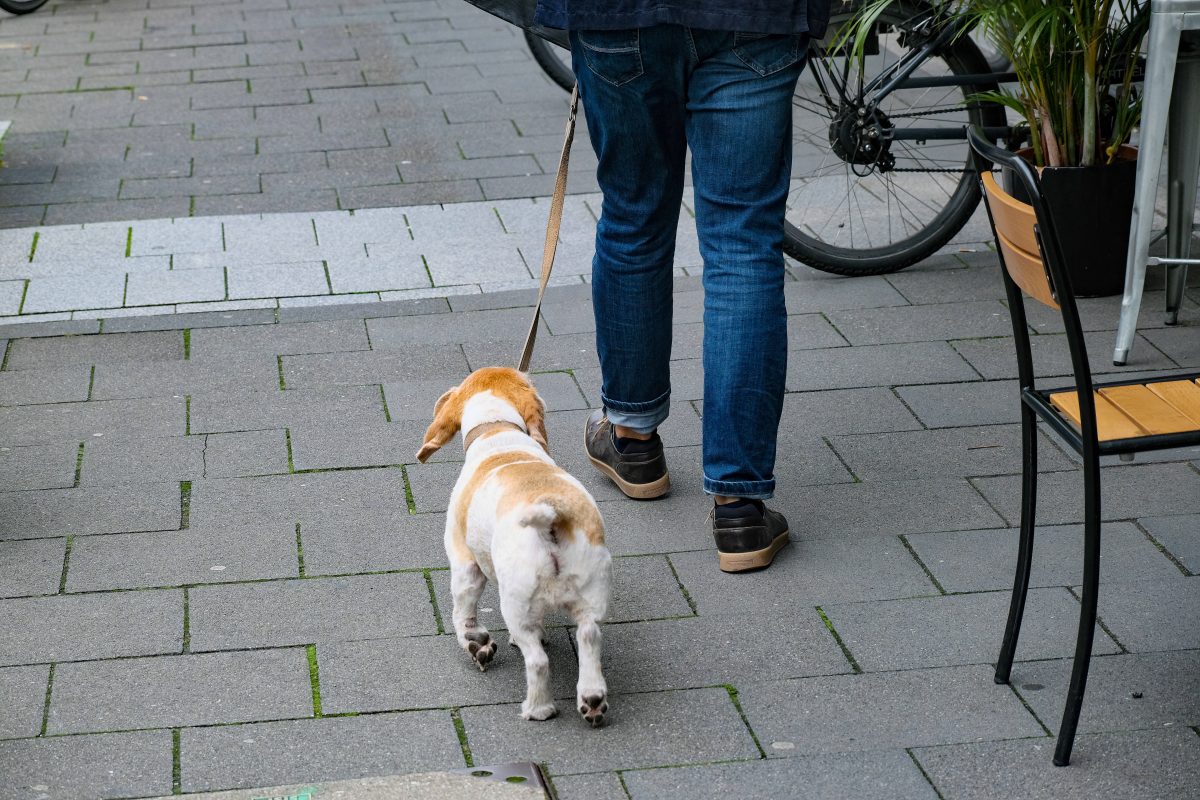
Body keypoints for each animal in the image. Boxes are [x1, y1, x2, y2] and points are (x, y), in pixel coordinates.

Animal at [417, 367, 614, 724]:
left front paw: (476, 644)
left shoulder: (465, 565)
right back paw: (592, 701)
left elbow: (462, 616)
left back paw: (538, 709)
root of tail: (552, 515)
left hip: (514, 602)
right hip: (591, 600)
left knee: (537, 661)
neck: (498, 430)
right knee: (589, 640)